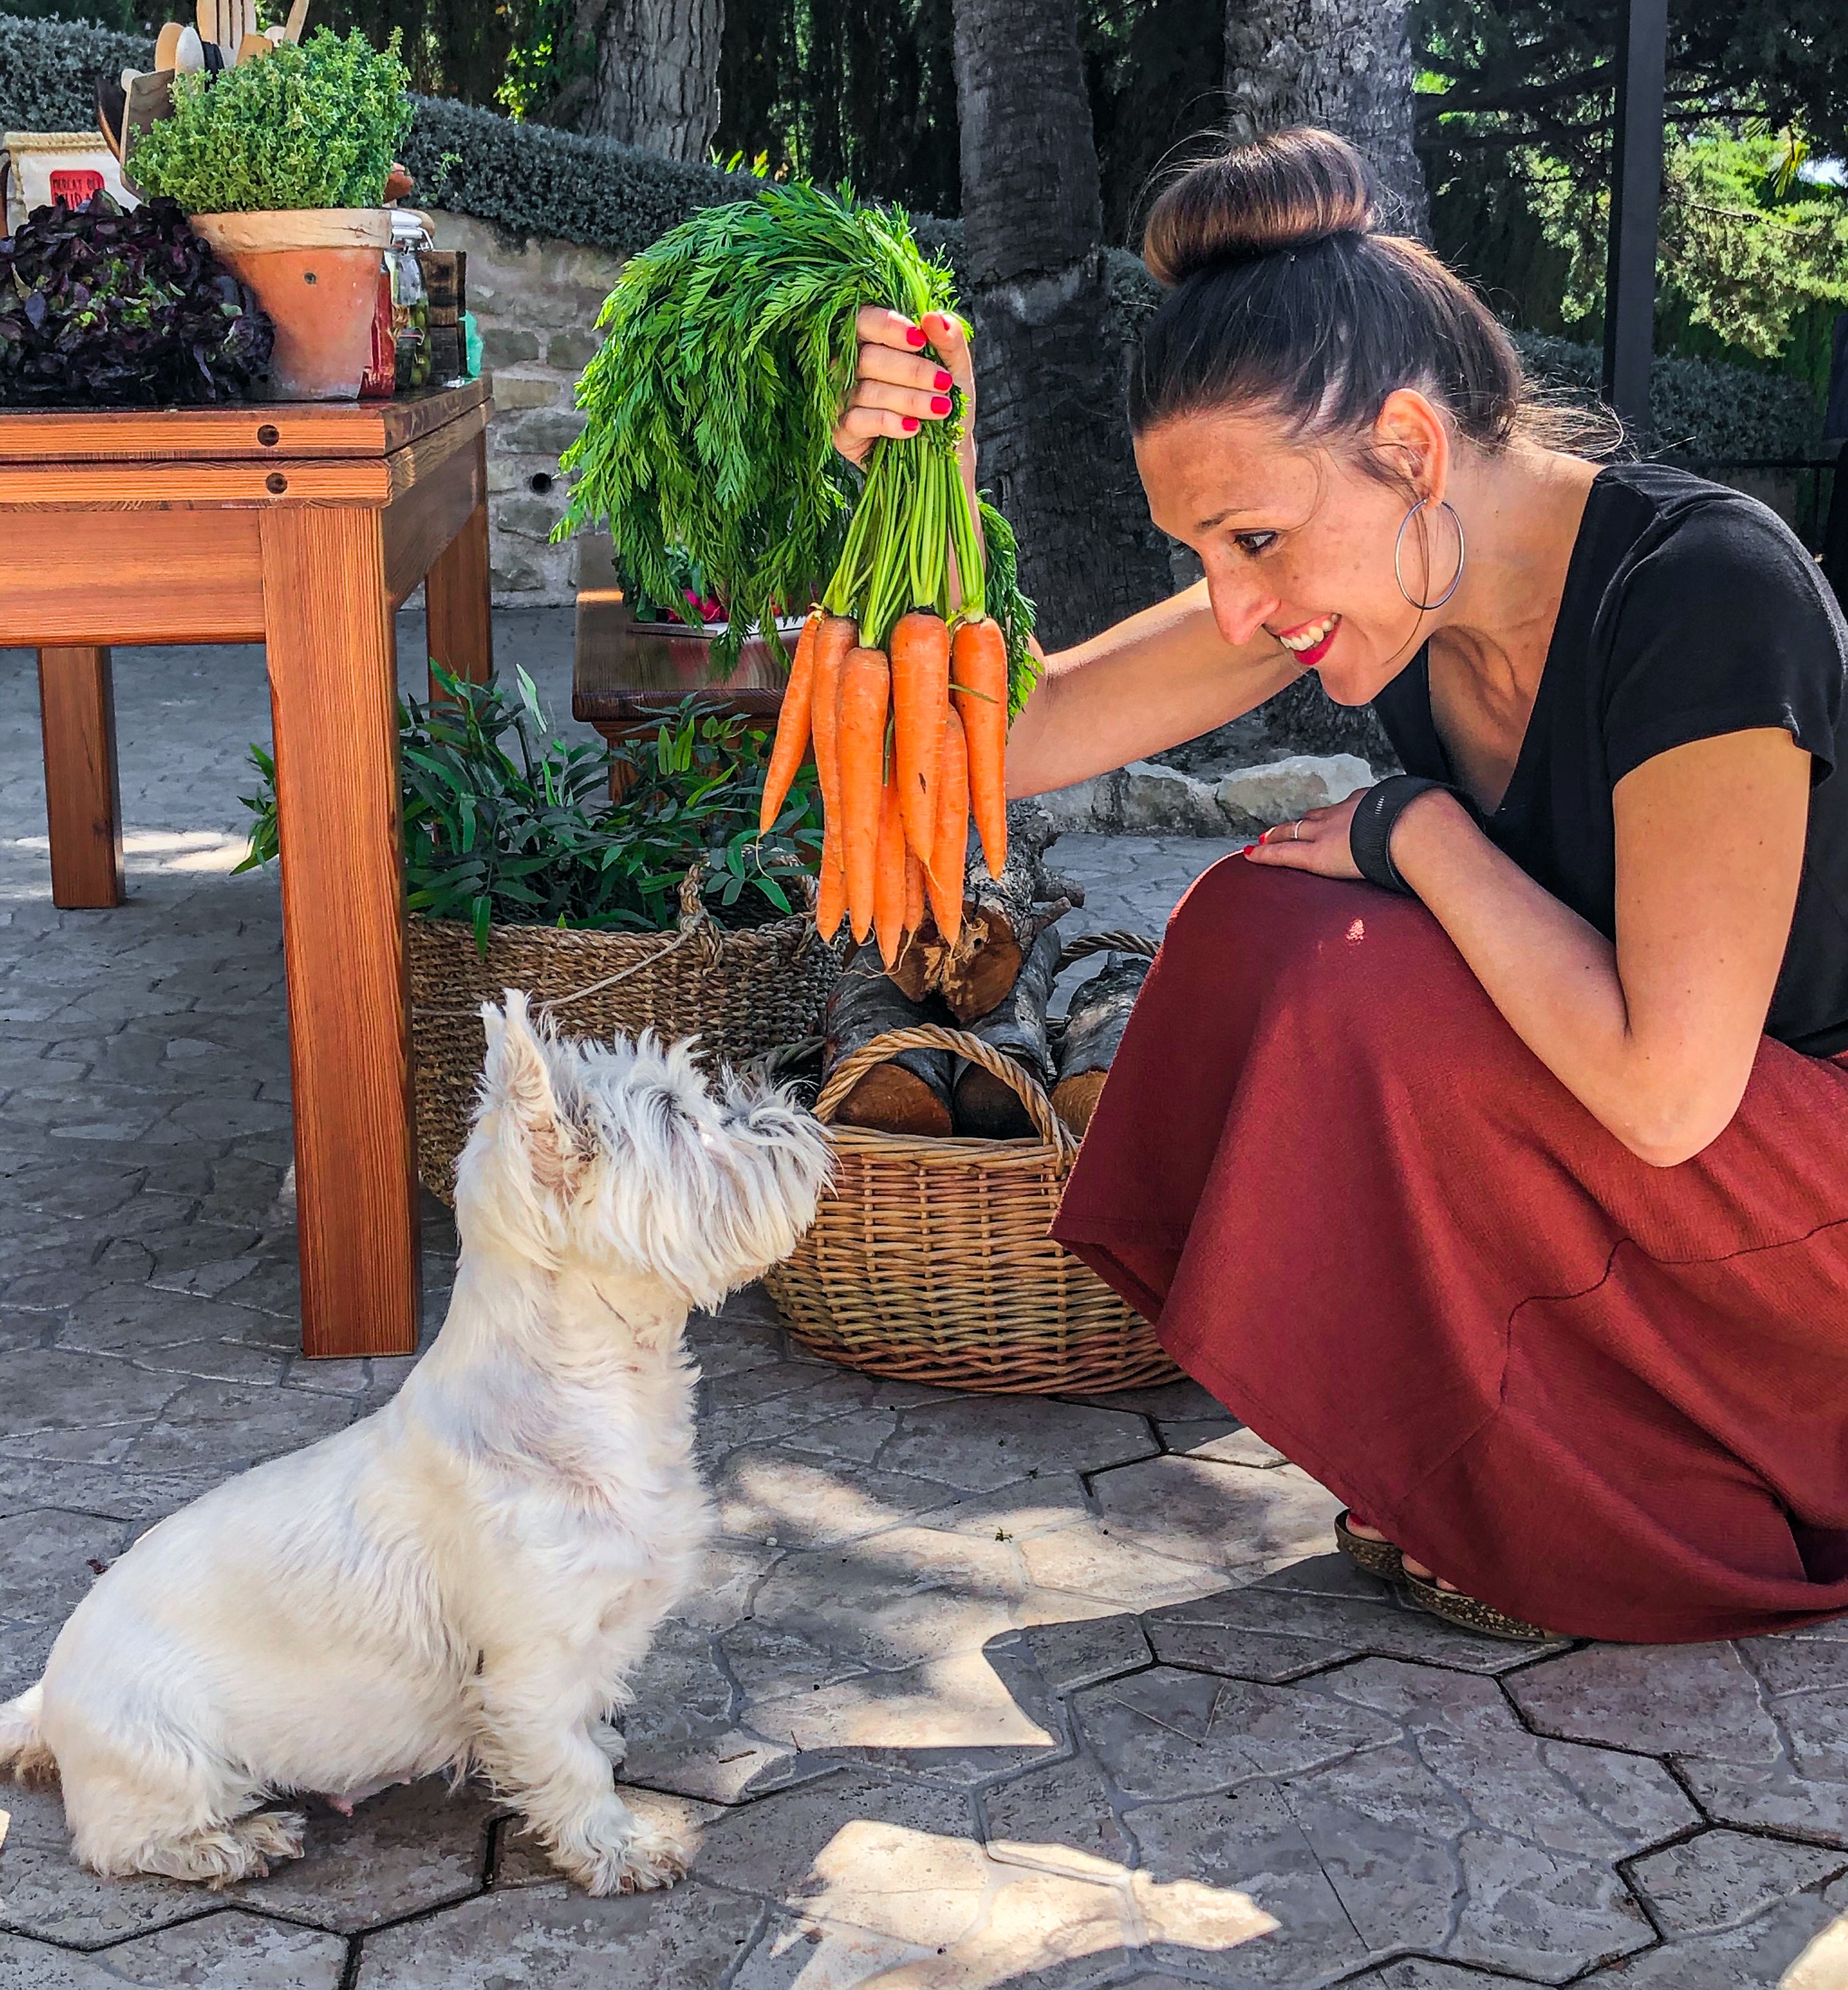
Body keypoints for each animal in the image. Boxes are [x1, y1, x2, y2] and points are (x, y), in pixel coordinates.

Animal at [0, 994, 830, 1895]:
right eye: (679, 1116)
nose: (794, 1097)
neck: (592, 1398)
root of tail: (47, 1695)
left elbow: (583, 1724)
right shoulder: (534, 1655)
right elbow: (566, 1759)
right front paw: (620, 1848)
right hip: (167, 1751)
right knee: (120, 1840)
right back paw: (241, 1841)